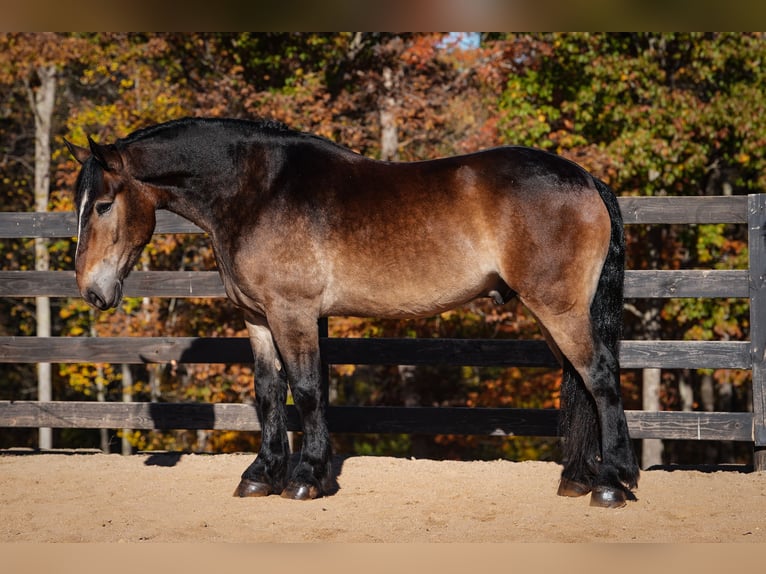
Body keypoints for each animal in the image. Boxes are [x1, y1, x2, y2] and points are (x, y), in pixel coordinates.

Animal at [65, 116, 639, 508]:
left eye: (103, 205)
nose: (92, 292)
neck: (259, 190)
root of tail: (584, 179)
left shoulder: (293, 312)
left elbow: (307, 390)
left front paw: (304, 479)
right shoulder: (258, 317)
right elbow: (270, 393)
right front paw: (261, 475)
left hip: (559, 307)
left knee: (600, 377)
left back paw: (612, 483)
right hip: (551, 312)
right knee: (579, 380)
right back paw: (578, 479)